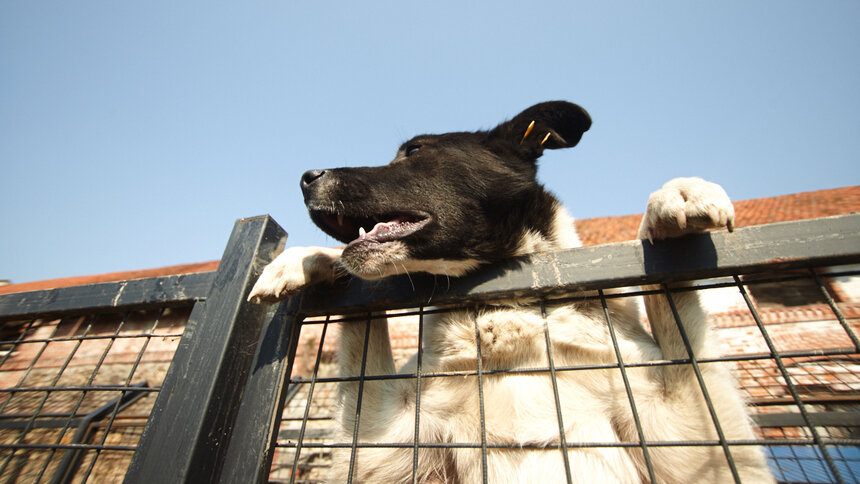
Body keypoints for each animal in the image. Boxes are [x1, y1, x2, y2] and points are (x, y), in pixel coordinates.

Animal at [249, 102, 772, 484]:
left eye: (414, 150)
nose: (305, 178)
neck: (503, 311)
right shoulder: (384, 448)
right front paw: (305, 260)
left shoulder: (697, 447)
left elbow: (671, 296)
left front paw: (672, 201)